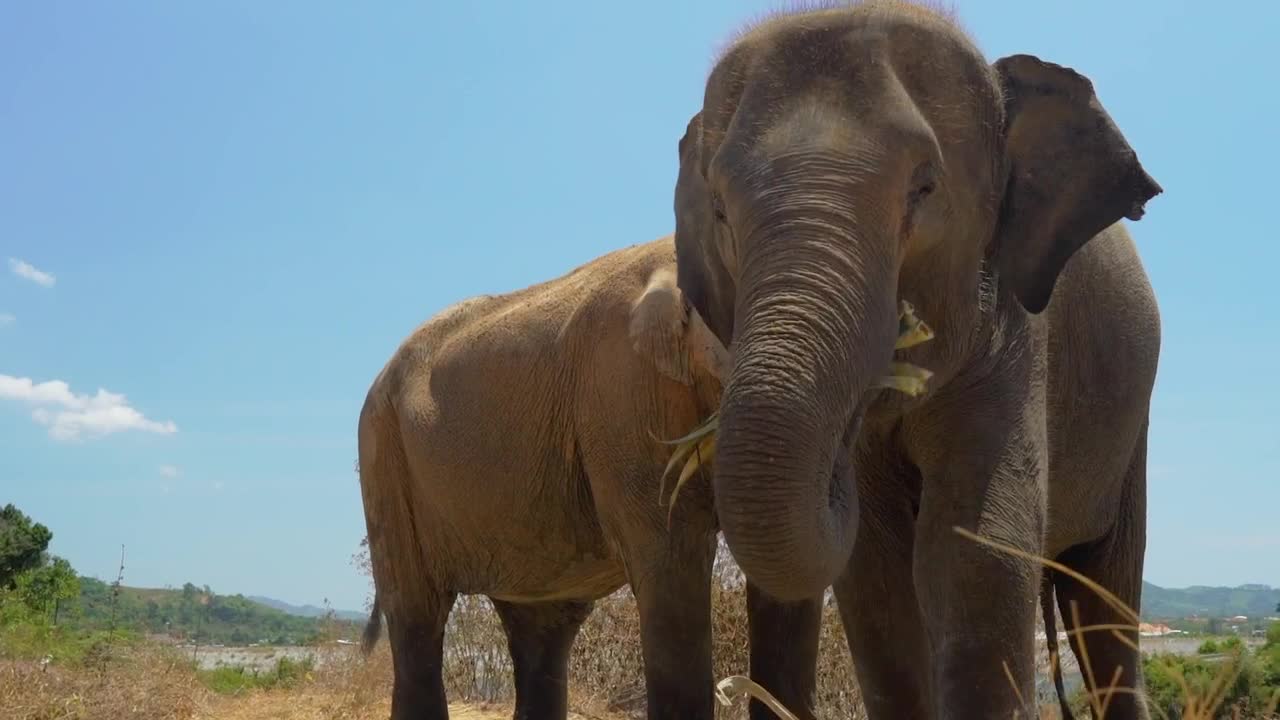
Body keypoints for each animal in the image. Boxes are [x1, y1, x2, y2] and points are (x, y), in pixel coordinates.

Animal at [669, 2, 1163, 719]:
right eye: (719, 210)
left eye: (925, 188)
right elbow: (875, 574)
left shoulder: (1014, 328)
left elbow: (974, 546)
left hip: (1131, 426)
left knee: (1104, 600)